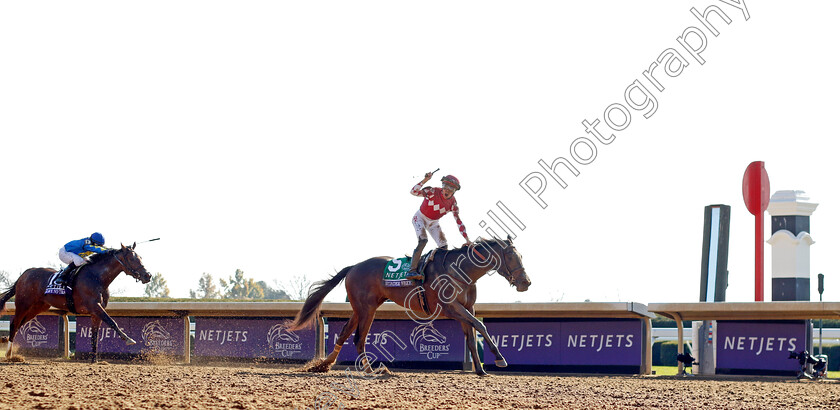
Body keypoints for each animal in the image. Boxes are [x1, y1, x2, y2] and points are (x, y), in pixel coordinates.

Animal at [0, 243, 151, 362]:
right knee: (14, 324)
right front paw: (129, 339)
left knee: (19, 325)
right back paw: (9, 355)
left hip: (37, 308)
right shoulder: (94, 306)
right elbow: (112, 321)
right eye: (132, 258)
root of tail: (25, 273)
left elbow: (95, 334)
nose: (147, 275)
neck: (97, 277)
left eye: (140, 258)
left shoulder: (96, 311)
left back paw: (10, 350)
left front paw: (94, 359)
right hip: (23, 304)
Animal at [286, 237, 528, 374]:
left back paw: (323, 365)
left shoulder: (468, 308)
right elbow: (481, 326)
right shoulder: (452, 308)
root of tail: (354, 267)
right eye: (511, 256)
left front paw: (480, 369)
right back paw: (370, 370)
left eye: (521, 255)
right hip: (367, 309)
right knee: (359, 338)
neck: (460, 271)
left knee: (345, 333)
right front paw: (499, 359)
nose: (526, 282)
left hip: (360, 308)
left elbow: (472, 335)